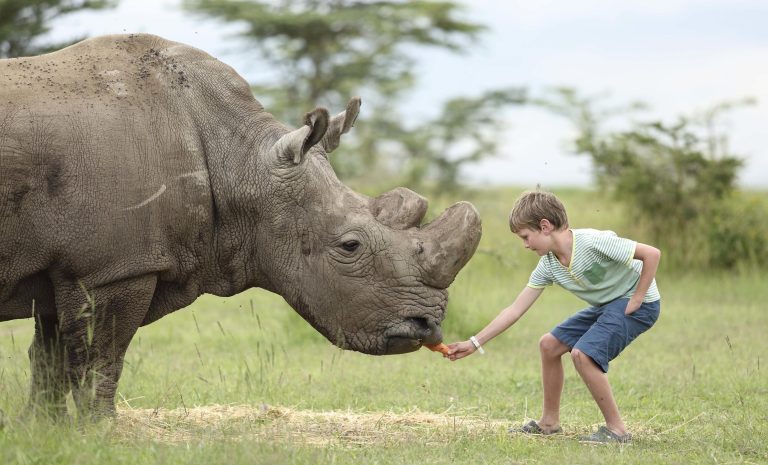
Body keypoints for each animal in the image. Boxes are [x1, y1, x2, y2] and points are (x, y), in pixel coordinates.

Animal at [0, 34, 481, 417]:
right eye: (350, 247)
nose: (426, 326)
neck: (239, 158)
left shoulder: (66, 266)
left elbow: (50, 358)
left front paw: (46, 430)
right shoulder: (112, 268)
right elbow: (100, 358)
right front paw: (99, 430)